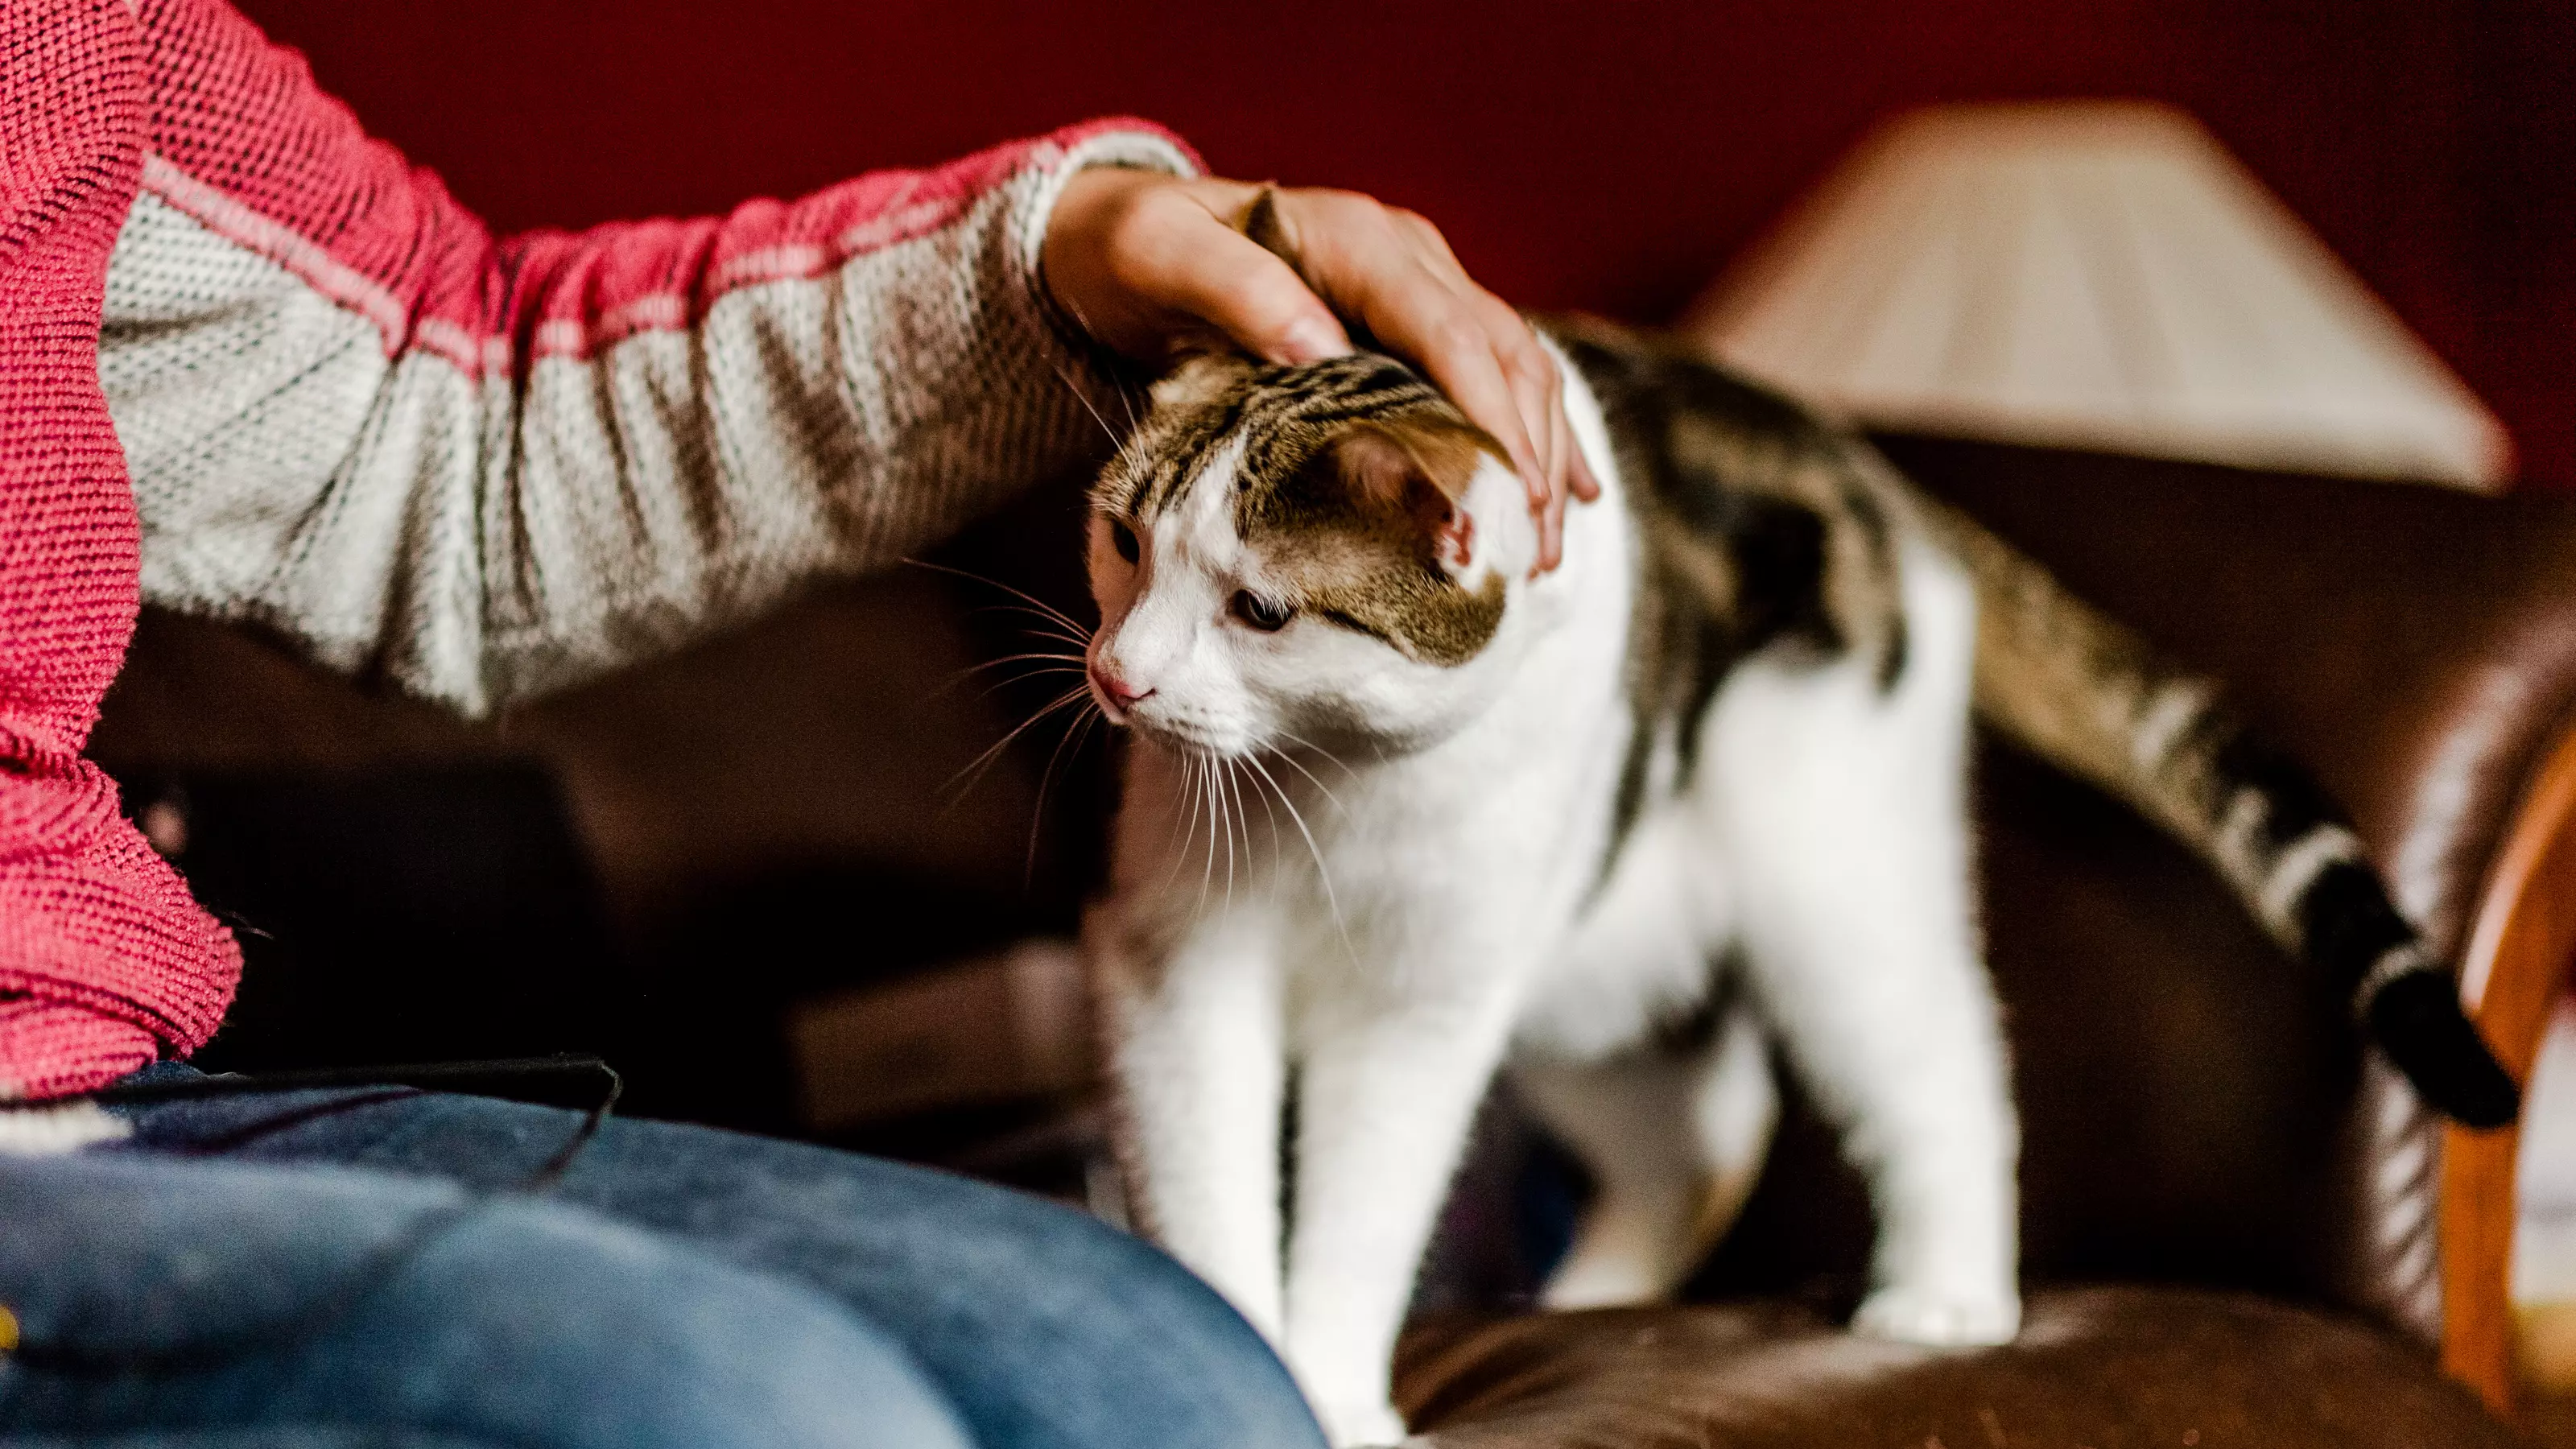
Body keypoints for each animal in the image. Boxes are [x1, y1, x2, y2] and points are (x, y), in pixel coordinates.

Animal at [1071, 310, 2514, 1433]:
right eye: (1124, 541)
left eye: (1261, 612)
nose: (1117, 677)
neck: (1331, 788)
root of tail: (1851, 453)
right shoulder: (1177, 969)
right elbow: (1205, 1179)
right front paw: (1239, 1347)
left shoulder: (1424, 1008)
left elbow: (1368, 1204)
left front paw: (1316, 1385)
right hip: (1585, 966)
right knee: (1707, 1129)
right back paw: (1593, 1295)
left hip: (1830, 889)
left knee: (1939, 1070)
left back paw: (1946, 1299)